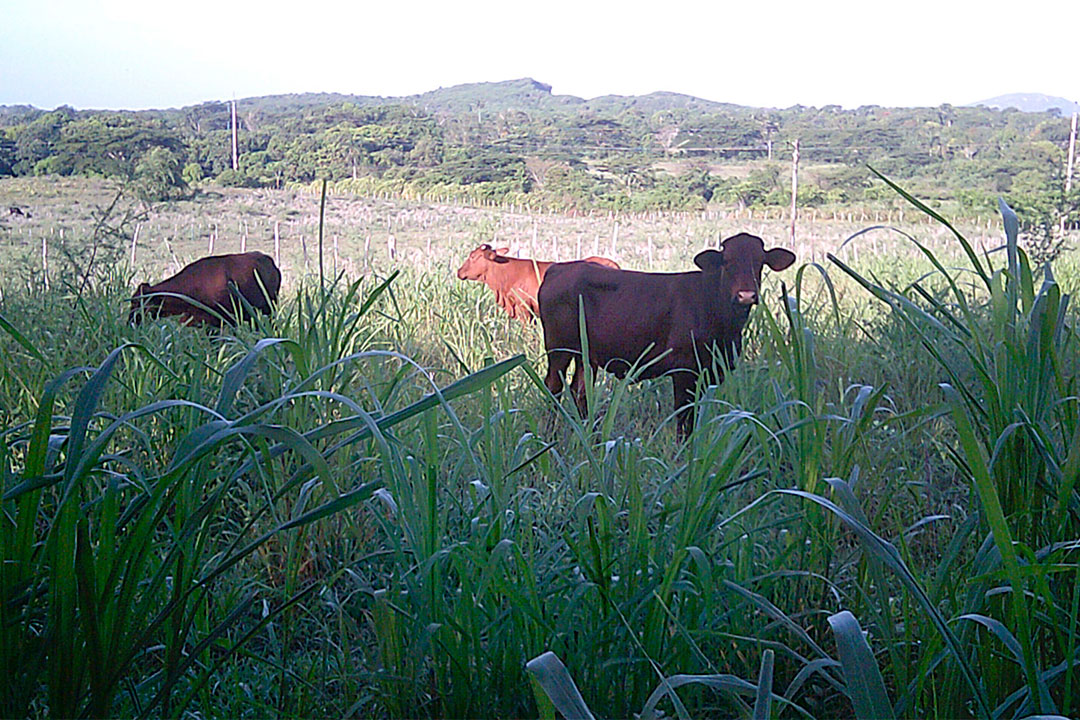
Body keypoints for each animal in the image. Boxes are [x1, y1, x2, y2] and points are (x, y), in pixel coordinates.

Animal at [537, 235, 794, 440]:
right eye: (727, 262)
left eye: (760, 263)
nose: (746, 295)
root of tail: (559, 269)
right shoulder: (684, 368)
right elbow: (684, 415)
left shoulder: (709, 370)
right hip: (558, 349)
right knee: (553, 388)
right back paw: (550, 435)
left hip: (586, 355)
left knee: (579, 391)